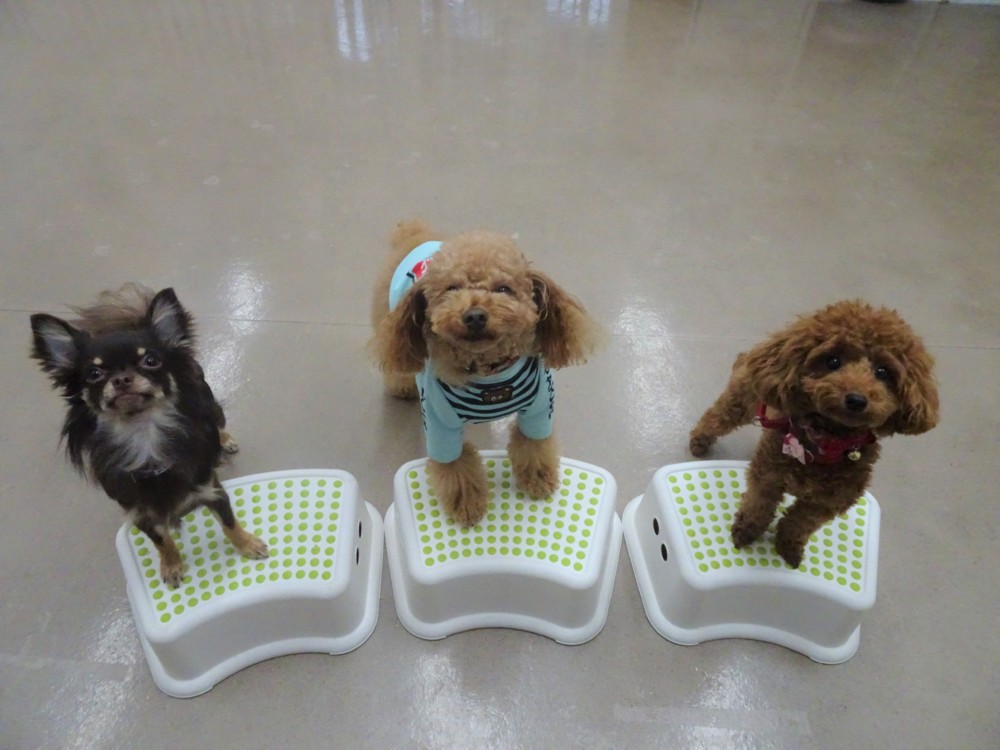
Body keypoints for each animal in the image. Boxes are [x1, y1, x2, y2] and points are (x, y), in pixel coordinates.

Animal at [30, 284, 268, 587]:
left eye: (151, 361)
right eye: (94, 373)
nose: (122, 379)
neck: (144, 436)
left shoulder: (212, 490)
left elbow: (229, 523)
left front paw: (248, 545)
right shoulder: (140, 513)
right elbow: (161, 540)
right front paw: (171, 565)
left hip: (210, 404)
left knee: (218, 422)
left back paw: (224, 440)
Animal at [371, 220, 602, 526]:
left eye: (504, 288)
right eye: (451, 288)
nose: (474, 315)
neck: (489, 375)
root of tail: (415, 234)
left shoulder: (539, 409)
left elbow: (535, 446)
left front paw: (538, 480)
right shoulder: (439, 425)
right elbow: (456, 467)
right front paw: (467, 504)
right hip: (388, 325)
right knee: (398, 364)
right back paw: (402, 387)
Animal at [688, 300, 939, 567]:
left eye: (882, 372)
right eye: (833, 361)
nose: (856, 400)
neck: (825, 442)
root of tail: (756, 353)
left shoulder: (826, 503)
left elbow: (798, 524)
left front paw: (788, 547)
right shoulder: (767, 479)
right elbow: (759, 506)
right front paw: (747, 531)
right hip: (740, 403)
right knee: (714, 419)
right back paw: (699, 442)